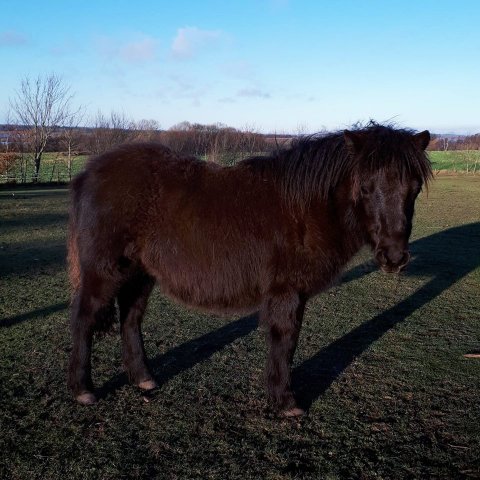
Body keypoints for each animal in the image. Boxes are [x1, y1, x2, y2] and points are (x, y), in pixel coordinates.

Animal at [67, 123, 431, 416]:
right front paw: (285, 402)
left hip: (140, 273)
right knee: (84, 319)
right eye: (365, 187)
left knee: (130, 318)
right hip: (104, 272)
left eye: (414, 189)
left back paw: (143, 379)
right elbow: (285, 341)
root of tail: (89, 173)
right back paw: (83, 390)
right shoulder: (286, 292)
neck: (304, 209)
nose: (394, 257)